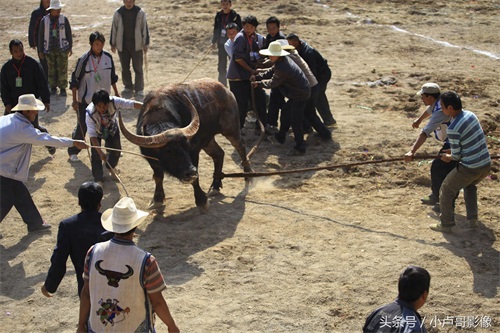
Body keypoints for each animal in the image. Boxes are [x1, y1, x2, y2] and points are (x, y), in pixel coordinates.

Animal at [118, 78, 252, 209]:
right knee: (219, 154)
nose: (190, 172)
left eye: (187, 147)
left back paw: (248, 177)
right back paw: (215, 186)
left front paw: (201, 200)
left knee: (241, 147)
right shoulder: (151, 159)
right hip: (208, 140)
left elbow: (195, 179)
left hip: (231, 129)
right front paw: (157, 199)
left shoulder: (194, 152)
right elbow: (158, 177)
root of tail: (226, 91)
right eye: (168, 151)